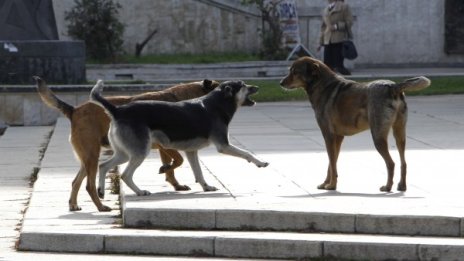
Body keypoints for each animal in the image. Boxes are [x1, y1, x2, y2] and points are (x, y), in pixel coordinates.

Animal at [34, 76, 219, 210]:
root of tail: (74, 110)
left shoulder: (163, 148)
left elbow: (173, 167)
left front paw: (175, 182)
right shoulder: (166, 145)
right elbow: (178, 161)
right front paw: (166, 170)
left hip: (88, 159)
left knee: (76, 182)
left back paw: (74, 204)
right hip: (93, 156)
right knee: (89, 185)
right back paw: (101, 206)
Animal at [90, 79, 268, 195]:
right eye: (243, 85)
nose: (258, 86)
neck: (217, 103)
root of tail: (118, 111)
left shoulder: (192, 152)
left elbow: (199, 173)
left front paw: (206, 187)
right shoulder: (223, 145)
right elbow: (247, 154)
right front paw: (261, 162)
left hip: (124, 153)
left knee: (103, 166)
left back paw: (101, 191)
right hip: (139, 152)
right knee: (125, 175)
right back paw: (140, 191)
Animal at [278, 57, 430, 191]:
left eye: (295, 72)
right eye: (290, 70)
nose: (280, 83)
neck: (322, 84)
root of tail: (392, 86)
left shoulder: (328, 135)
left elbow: (332, 163)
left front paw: (331, 186)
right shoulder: (338, 137)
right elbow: (332, 163)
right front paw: (326, 183)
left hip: (378, 135)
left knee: (391, 163)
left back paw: (387, 187)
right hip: (400, 134)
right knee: (403, 162)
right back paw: (402, 186)